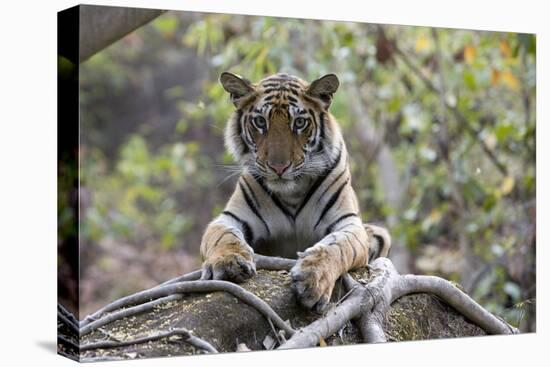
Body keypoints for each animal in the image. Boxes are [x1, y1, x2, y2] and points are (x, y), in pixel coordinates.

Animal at [199, 72, 392, 314]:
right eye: (260, 122)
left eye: (299, 123)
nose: (279, 167)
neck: (292, 192)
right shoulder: (229, 218)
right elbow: (224, 237)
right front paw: (228, 262)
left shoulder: (348, 224)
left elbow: (336, 247)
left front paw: (313, 279)